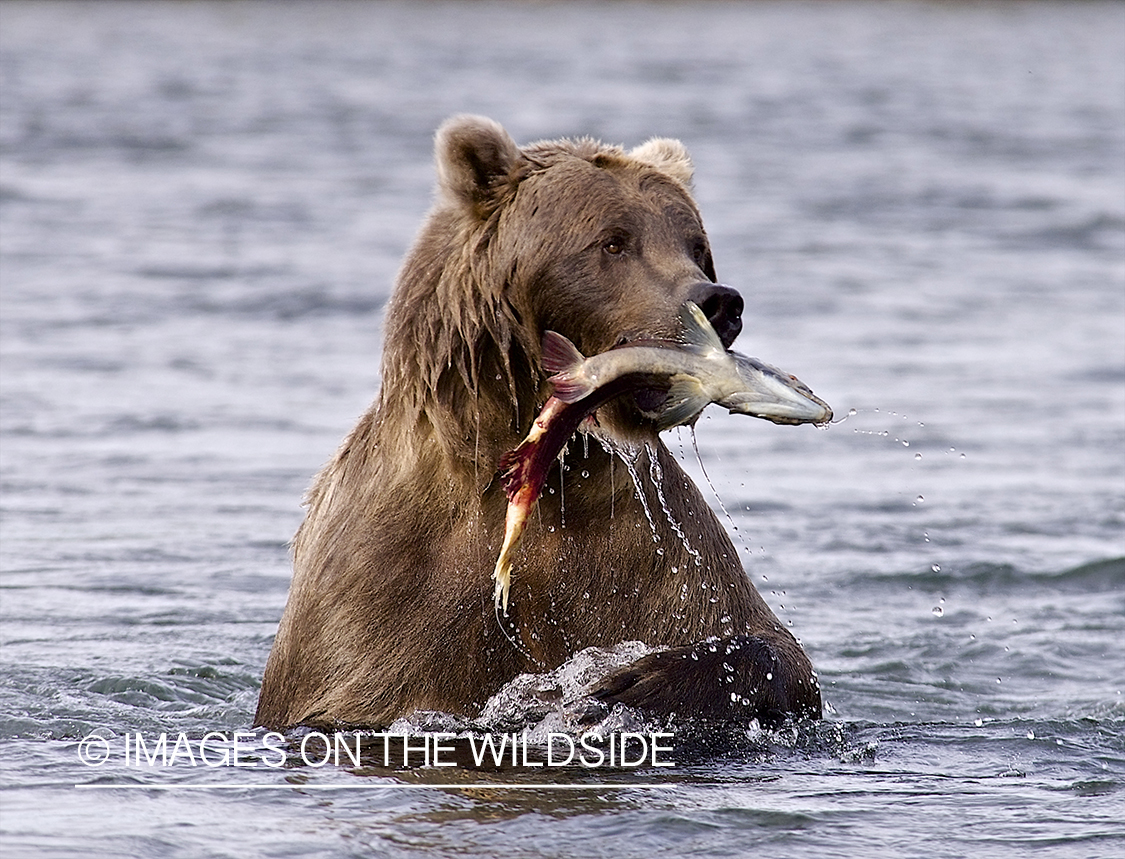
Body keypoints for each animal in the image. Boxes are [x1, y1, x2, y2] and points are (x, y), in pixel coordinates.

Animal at [253, 114, 819, 733]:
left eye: (696, 245)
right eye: (613, 241)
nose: (719, 302)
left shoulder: (644, 546)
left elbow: (762, 643)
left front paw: (632, 683)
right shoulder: (383, 591)